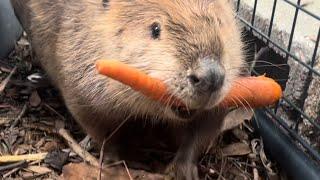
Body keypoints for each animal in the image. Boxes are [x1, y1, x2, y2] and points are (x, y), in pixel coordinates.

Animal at [10, 0, 245, 179]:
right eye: (155, 29)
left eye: (219, 22)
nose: (210, 77)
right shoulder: (79, 78)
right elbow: (101, 129)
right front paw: (118, 163)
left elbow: (202, 131)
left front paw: (181, 170)